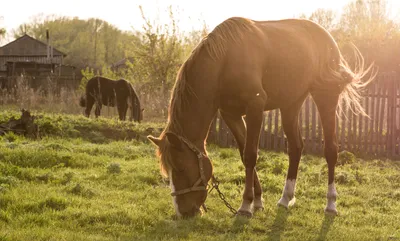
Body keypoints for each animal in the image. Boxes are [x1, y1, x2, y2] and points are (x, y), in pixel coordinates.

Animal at [147, 17, 376, 218]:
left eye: (181, 168)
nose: (183, 212)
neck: (225, 60)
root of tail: (327, 38)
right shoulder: (231, 115)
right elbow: (244, 155)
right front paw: (257, 201)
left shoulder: (255, 108)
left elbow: (250, 155)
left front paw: (246, 205)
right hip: (290, 104)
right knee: (296, 147)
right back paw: (286, 198)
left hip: (325, 96)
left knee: (330, 150)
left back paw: (330, 203)